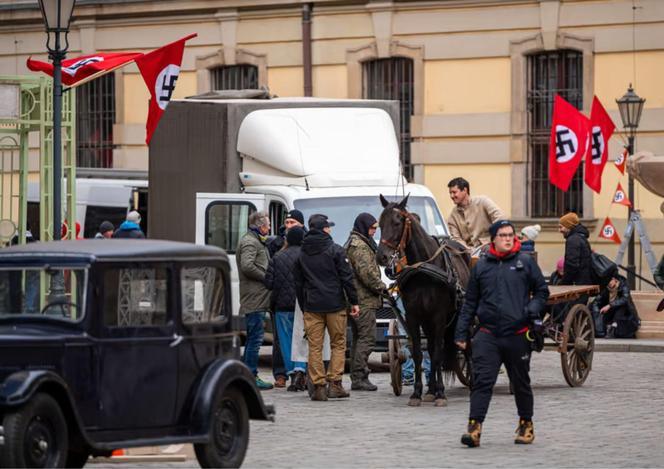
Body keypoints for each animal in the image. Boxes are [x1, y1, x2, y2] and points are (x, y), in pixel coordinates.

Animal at [376, 194, 470, 406]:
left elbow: (437, 354)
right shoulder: (414, 316)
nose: (382, 257)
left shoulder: (439, 316)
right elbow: (419, 353)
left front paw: (441, 394)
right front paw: (418, 392)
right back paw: (430, 390)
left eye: (397, 222)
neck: (422, 270)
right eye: (379, 223)